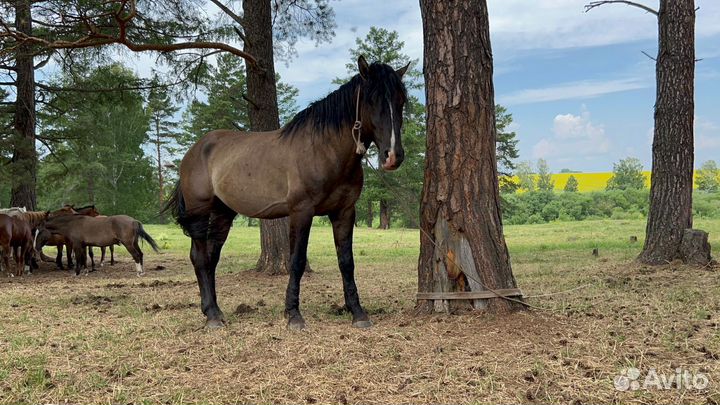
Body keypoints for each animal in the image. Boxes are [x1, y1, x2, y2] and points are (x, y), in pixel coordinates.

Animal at [165, 56, 409, 329]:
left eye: (401, 100)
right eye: (371, 99)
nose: (393, 156)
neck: (323, 149)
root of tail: (194, 150)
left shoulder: (344, 212)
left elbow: (346, 262)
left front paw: (358, 312)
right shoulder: (301, 211)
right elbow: (297, 261)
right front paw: (293, 315)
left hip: (222, 213)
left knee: (211, 258)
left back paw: (214, 310)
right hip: (199, 212)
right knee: (200, 258)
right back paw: (213, 317)